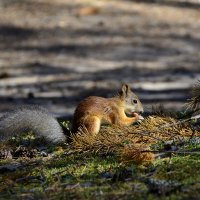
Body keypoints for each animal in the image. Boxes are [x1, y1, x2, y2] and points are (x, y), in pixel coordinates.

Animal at [0, 83, 144, 143]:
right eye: (135, 101)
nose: (142, 110)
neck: (119, 103)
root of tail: (73, 134)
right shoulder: (115, 111)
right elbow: (120, 122)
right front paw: (137, 117)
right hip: (92, 121)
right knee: (86, 135)